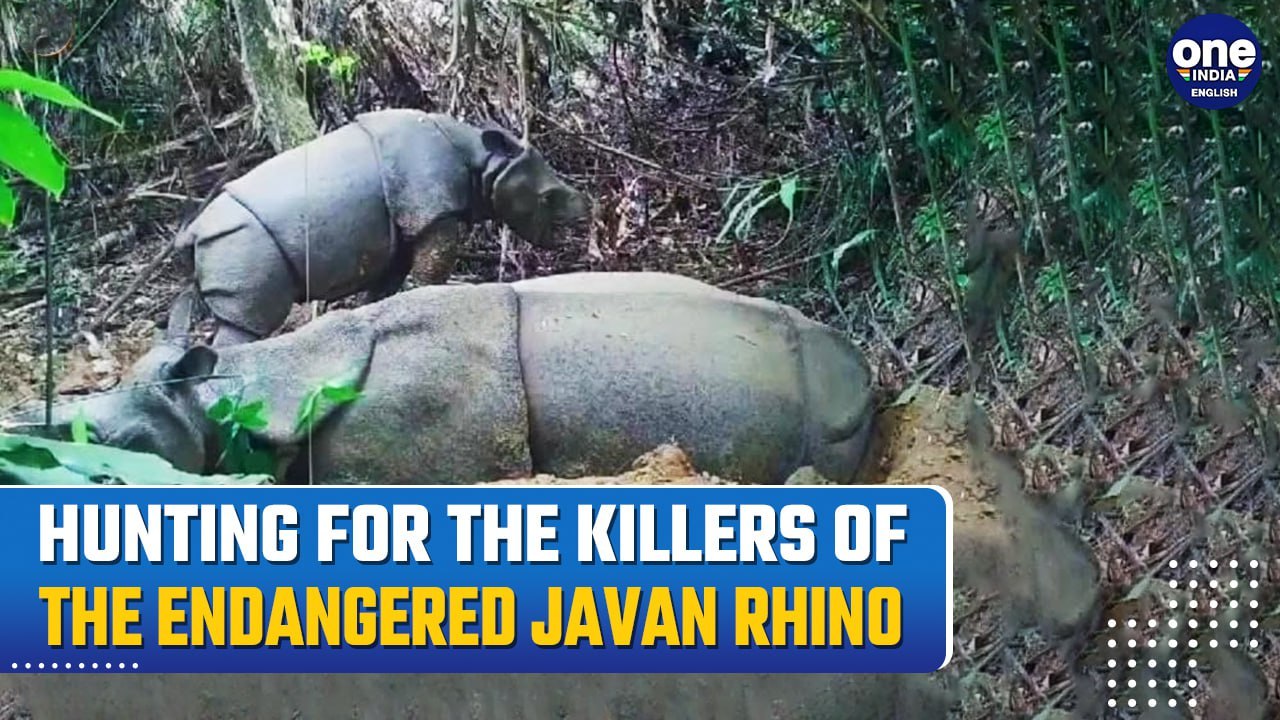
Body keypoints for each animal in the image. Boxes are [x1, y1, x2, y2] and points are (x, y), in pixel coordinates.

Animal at [168, 109, 589, 346]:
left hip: (223, 245)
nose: (588, 206)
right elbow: (430, 272)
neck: (483, 161)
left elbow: (384, 289)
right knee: (247, 328)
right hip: (242, 244)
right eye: (549, 197)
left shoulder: (402, 230)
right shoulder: (435, 212)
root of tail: (194, 231)